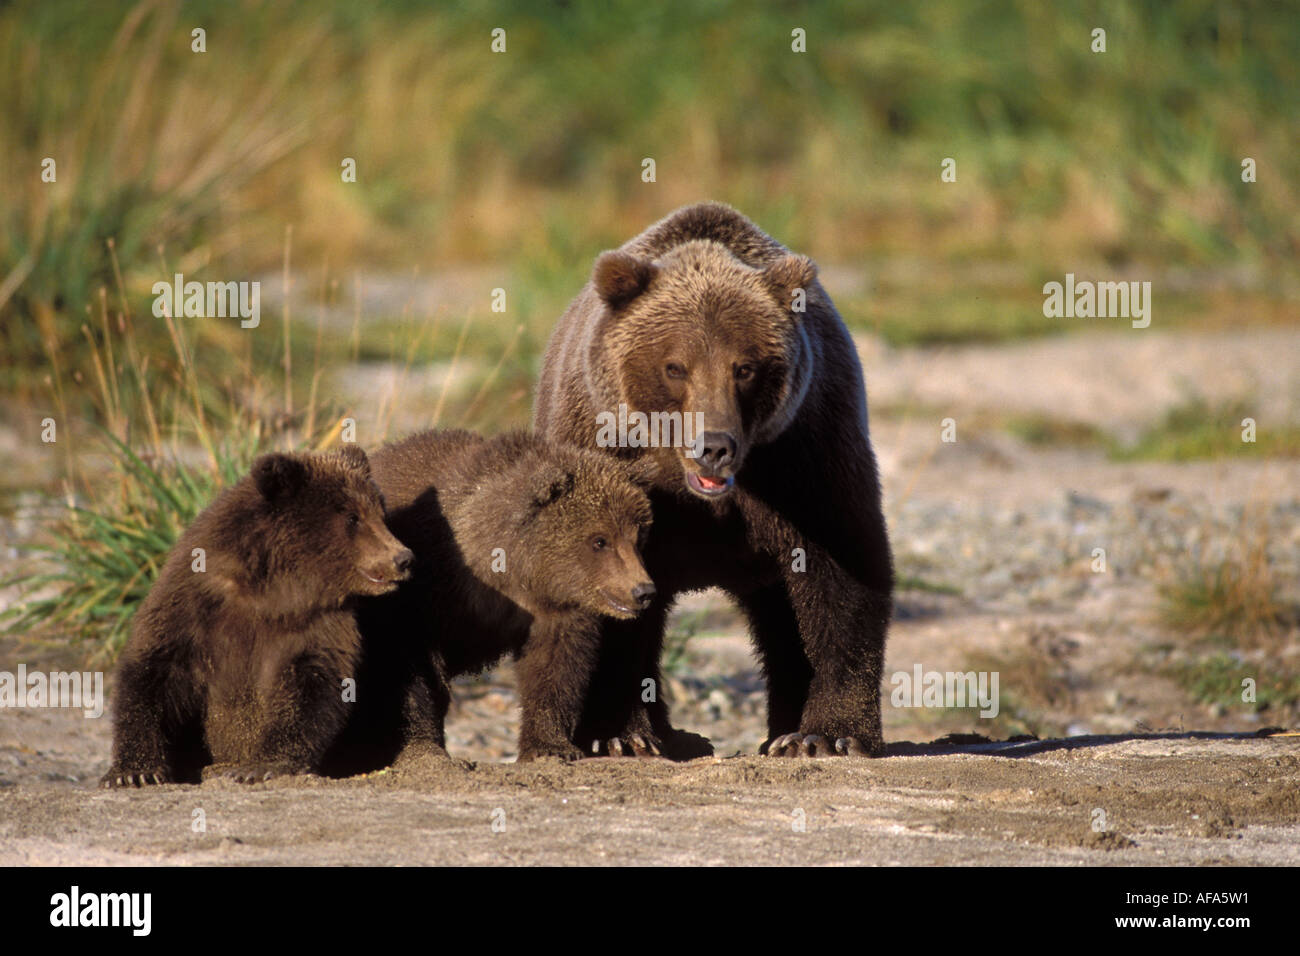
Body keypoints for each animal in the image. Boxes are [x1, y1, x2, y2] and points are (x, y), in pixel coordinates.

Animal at [100, 446, 413, 787]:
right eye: (352, 517)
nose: (403, 558)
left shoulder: (317, 624)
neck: (272, 588)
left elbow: (309, 687)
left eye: (380, 513)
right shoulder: (192, 602)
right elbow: (154, 670)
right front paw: (135, 771)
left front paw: (261, 765)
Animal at [321, 429, 658, 771]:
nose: (642, 590)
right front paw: (422, 750)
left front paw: (550, 747)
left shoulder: (554, 607)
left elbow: (554, 667)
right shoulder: (423, 591)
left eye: (639, 535)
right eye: (600, 540)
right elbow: (410, 670)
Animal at [534, 201, 894, 759]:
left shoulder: (804, 457)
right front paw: (619, 734)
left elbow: (842, 573)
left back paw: (779, 731)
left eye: (745, 367)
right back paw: (667, 734)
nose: (714, 444)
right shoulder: (602, 448)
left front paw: (827, 735)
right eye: (675, 366)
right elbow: (603, 584)